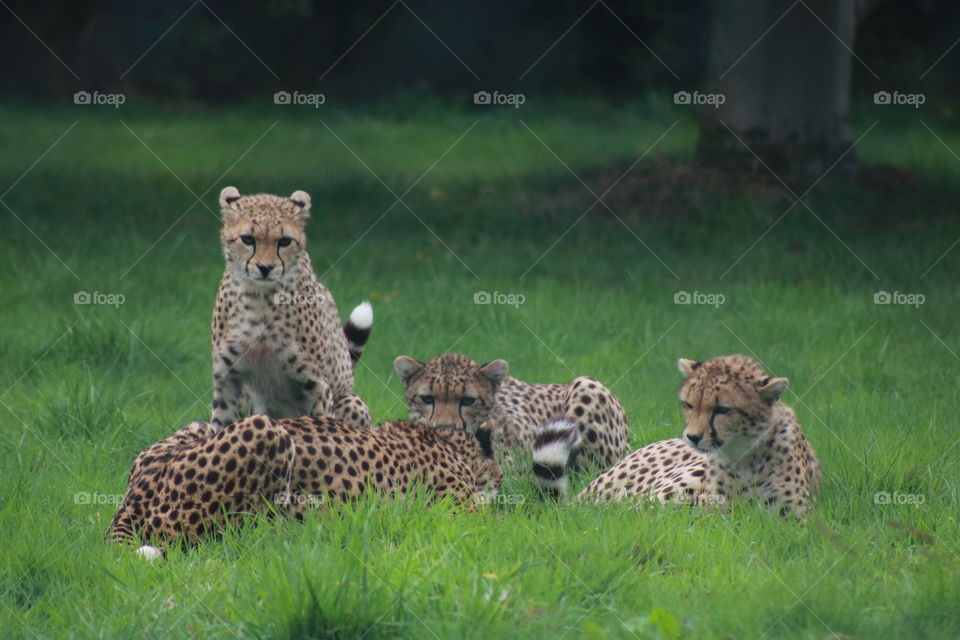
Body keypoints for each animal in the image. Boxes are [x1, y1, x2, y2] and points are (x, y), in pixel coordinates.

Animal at [107, 415, 501, 558]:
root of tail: (131, 498)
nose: (501, 477)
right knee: (234, 534)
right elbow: (488, 513)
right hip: (267, 429)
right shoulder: (457, 507)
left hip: (203, 426)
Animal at [210, 186, 372, 431]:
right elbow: (218, 426)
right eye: (247, 239)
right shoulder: (228, 376)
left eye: (284, 241)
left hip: (352, 400)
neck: (259, 298)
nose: (265, 268)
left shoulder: (317, 384)